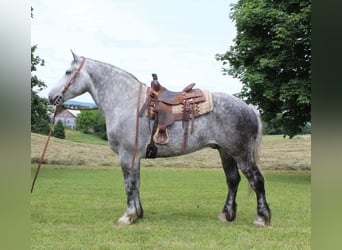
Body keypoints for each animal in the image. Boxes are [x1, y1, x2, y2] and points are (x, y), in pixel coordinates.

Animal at [48, 51, 272, 228]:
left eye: (68, 72)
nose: (51, 97)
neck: (127, 102)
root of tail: (250, 108)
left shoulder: (127, 155)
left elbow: (129, 185)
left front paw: (127, 216)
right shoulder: (135, 157)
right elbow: (136, 183)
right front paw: (138, 214)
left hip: (241, 154)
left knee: (257, 180)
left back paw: (262, 218)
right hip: (226, 152)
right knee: (233, 180)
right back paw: (226, 215)